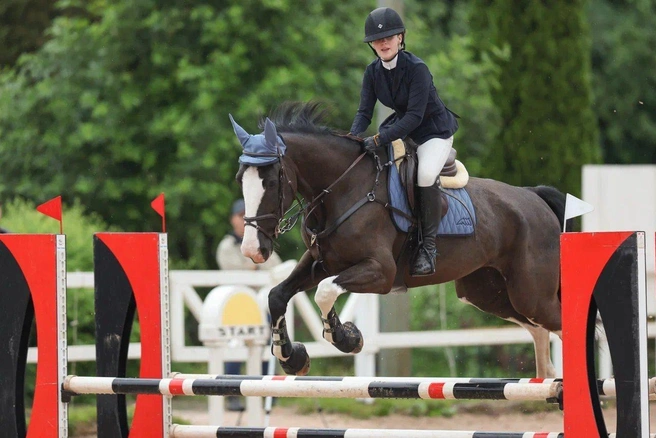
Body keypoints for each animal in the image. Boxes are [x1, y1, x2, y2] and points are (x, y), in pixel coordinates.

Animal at [231, 103, 564, 380]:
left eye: (271, 182)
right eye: (240, 180)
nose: (252, 250)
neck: (344, 188)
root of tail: (534, 197)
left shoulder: (381, 272)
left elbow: (325, 292)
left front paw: (346, 338)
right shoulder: (321, 261)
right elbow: (277, 295)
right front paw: (292, 357)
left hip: (531, 294)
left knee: (561, 324)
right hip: (487, 292)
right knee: (539, 330)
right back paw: (546, 380)